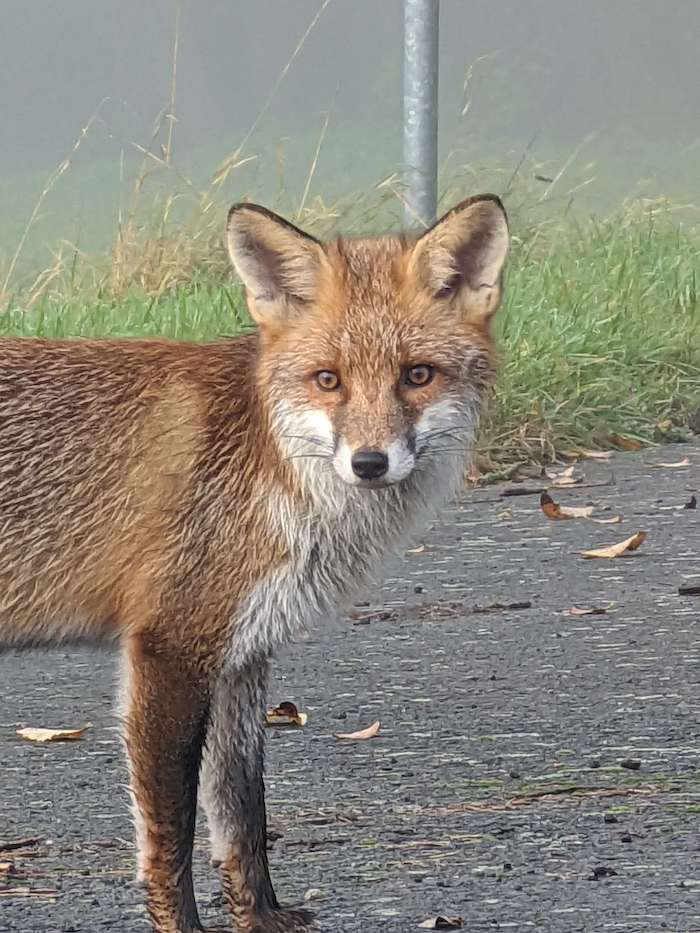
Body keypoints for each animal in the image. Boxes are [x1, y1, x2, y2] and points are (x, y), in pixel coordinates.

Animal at [0, 194, 508, 932]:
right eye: (328, 380)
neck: (268, 461)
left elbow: (243, 811)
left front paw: (260, 917)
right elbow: (172, 834)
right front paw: (181, 926)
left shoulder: (243, 655)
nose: (370, 462)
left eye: (417, 375)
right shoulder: (170, 647)